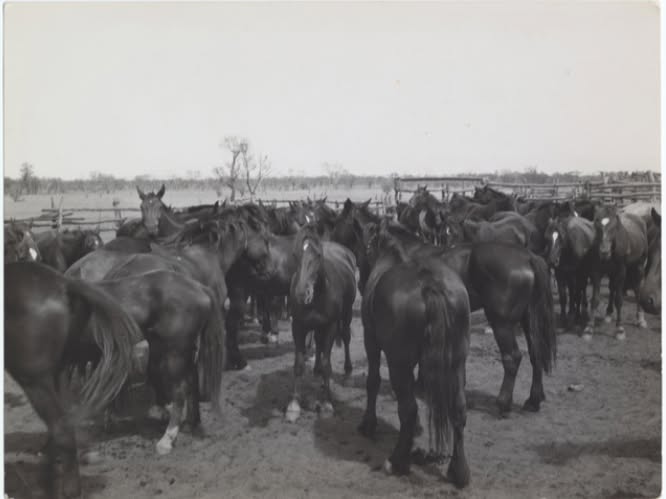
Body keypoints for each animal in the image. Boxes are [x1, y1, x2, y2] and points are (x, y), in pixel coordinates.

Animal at [284, 225, 356, 423]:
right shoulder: (298, 326)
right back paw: (316, 370)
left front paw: (326, 404)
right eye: (295, 254)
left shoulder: (331, 326)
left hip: (347, 314)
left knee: (346, 337)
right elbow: (299, 363)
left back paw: (347, 372)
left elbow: (327, 364)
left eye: (317, 255)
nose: (301, 293)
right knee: (318, 339)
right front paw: (293, 405)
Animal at [357, 220, 470, 486]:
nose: (359, 284)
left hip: (398, 362)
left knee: (408, 410)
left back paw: (397, 461)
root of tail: (429, 285)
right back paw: (458, 471)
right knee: (459, 409)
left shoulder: (371, 340)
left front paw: (368, 424)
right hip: (457, 361)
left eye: (363, 249)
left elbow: (373, 381)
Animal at [585, 204, 649, 340]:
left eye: (614, 227)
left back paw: (640, 318)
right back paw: (608, 313)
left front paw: (619, 329)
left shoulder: (621, 272)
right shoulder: (597, 272)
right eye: (596, 224)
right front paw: (589, 329)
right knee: (612, 288)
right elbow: (595, 299)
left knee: (637, 289)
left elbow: (619, 300)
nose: (604, 252)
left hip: (639, 267)